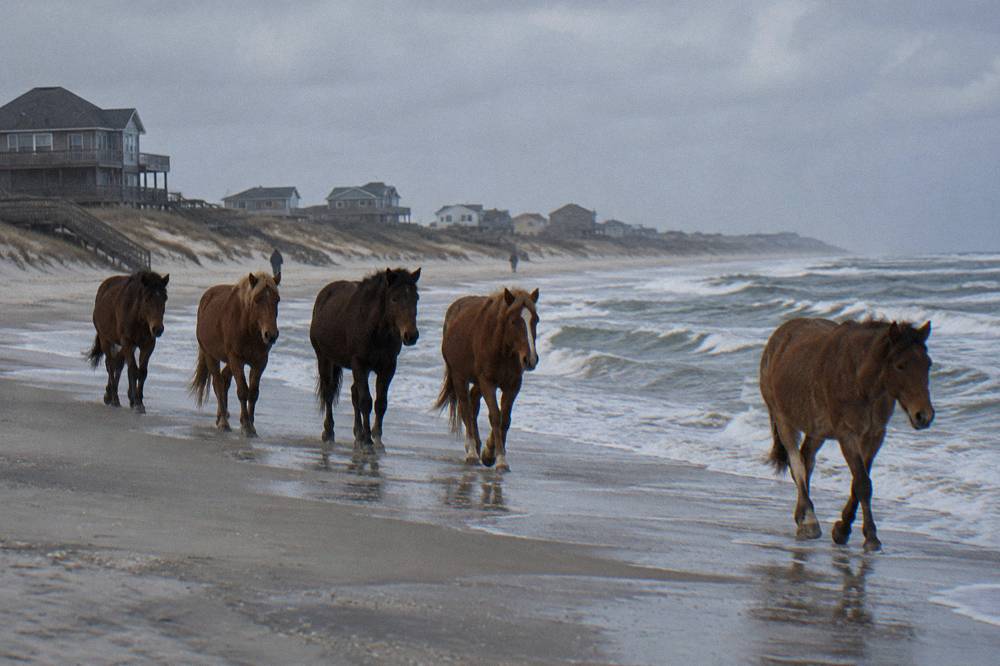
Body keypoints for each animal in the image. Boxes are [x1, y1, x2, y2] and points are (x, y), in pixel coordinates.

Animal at [87, 271, 169, 413]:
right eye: (147, 299)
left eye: (164, 298)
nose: (158, 329)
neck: (137, 316)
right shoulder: (128, 342)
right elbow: (133, 369)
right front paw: (136, 403)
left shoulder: (148, 344)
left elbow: (142, 371)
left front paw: (138, 401)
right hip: (105, 339)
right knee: (110, 364)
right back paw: (114, 398)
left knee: (118, 363)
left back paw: (111, 395)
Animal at [190, 271, 281, 437]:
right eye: (257, 300)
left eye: (277, 300)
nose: (270, 335)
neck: (248, 328)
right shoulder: (236, 359)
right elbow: (243, 391)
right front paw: (246, 425)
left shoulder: (260, 362)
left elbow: (253, 393)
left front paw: (251, 425)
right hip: (211, 356)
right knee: (218, 383)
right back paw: (223, 423)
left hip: (229, 361)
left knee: (224, 380)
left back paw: (222, 416)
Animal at [309, 267, 421, 455]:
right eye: (394, 298)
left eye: (416, 298)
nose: (411, 335)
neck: (376, 329)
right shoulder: (359, 364)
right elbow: (365, 402)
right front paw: (368, 441)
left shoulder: (387, 367)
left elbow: (380, 403)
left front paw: (376, 438)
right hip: (324, 359)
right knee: (329, 393)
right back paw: (329, 432)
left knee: (354, 393)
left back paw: (358, 434)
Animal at [434, 287, 539, 471]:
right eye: (514, 321)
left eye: (536, 320)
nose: (530, 359)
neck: (502, 348)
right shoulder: (487, 383)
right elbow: (495, 416)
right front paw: (500, 459)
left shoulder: (513, 385)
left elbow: (505, 419)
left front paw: (490, 452)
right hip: (459, 377)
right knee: (466, 408)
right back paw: (471, 452)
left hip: (476, 382)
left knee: (473, 404)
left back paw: (476, 446)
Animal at [759, 318, 934, 551]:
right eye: (900, 365)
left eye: (928, 364)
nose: (924, 416)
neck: (861, 381)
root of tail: (779, 336)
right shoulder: (847, 435)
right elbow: (862, 483)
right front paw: (870, 537)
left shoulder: (874, 436)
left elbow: (859, 482)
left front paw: (843, 529)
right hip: (783, 419)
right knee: (797, 464)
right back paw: (809, 522)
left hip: (817, 431)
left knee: (807, 460)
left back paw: (801, 516)